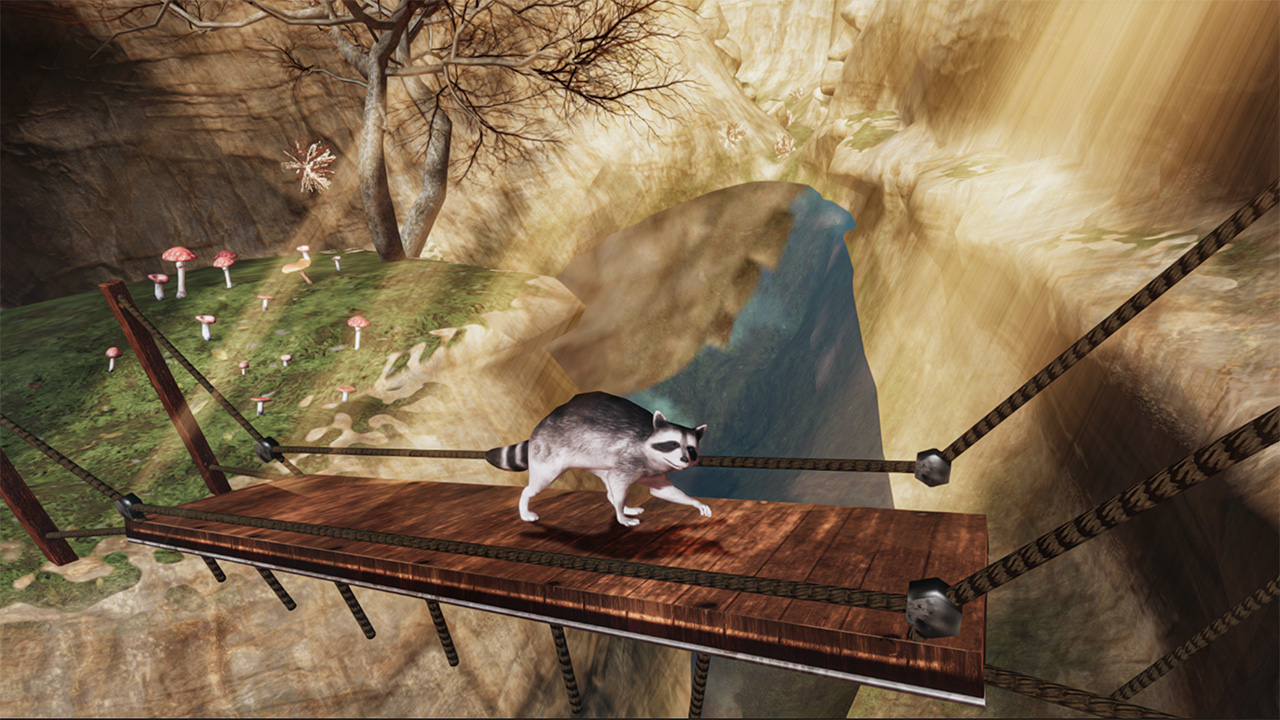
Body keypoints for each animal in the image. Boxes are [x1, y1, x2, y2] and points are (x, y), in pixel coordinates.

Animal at [486, 392, 711, 527]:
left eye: (691, 449)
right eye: (672, 444)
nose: (684, 458)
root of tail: (546, 419)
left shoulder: (655, 472)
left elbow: (662, 491)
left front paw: (694, 502)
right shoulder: (630, 458)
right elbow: (619, 481)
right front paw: (621, 515)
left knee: (609, 482)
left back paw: (621, 503)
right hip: (548, 453)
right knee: (537, 484)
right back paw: (525, 502)